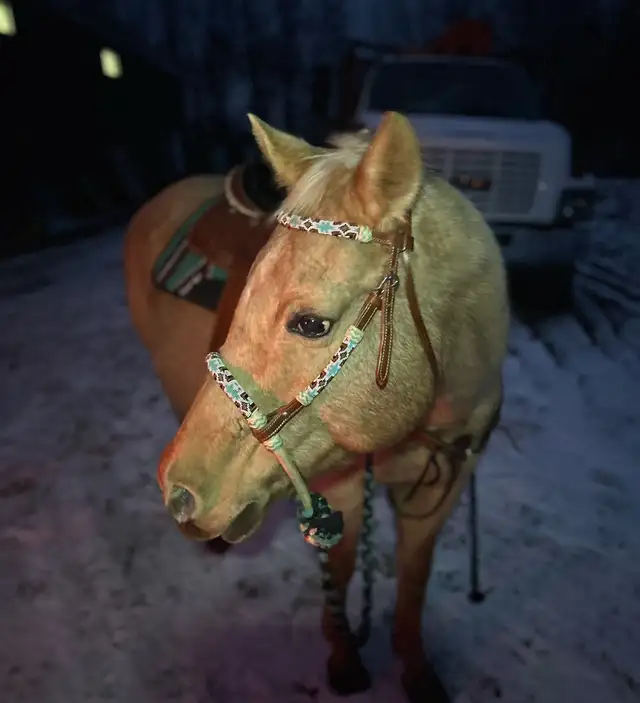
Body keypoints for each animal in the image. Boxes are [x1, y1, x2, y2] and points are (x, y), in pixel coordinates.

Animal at [133, 112, 509, 702]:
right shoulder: (343, 489)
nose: (182, 493)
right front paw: (345, 656)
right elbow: (345, 564)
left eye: (311, 324)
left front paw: (415, 668)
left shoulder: (439, 495)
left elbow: (415, 577)